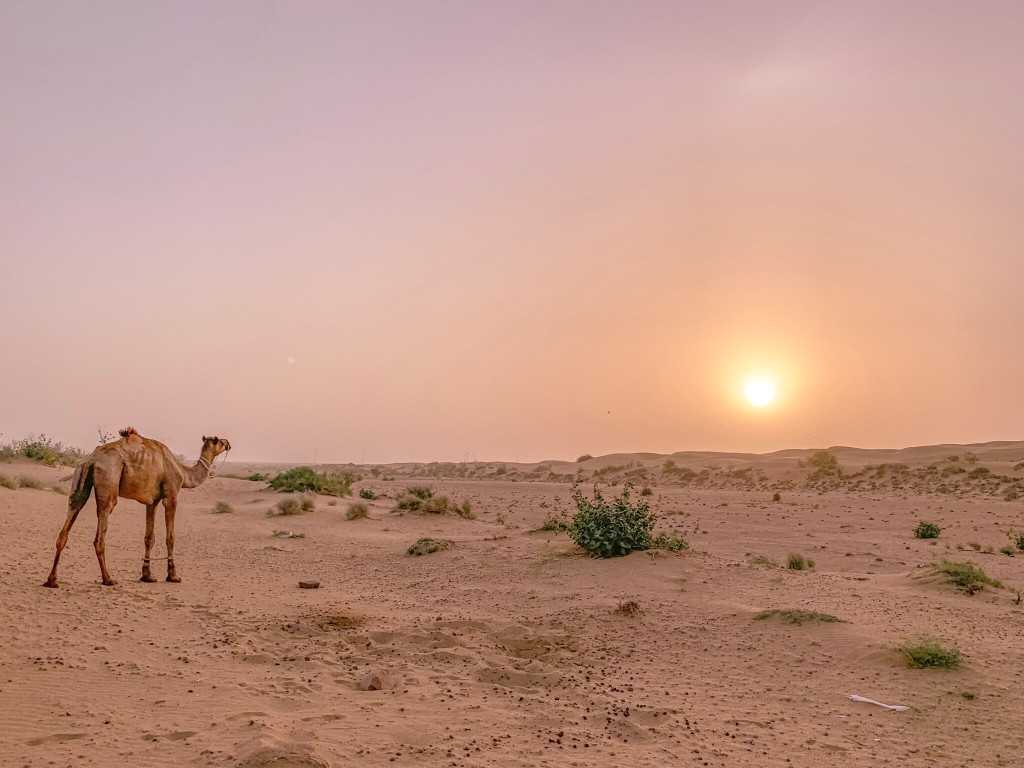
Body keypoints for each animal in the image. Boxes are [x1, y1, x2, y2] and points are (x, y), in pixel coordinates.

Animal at [44, 428, 231, 588]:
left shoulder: (152, 501)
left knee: (69, 519)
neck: (184, 474)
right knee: (101, 530)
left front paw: (147, 576)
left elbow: (149, 538)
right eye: (220, 441)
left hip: (81, 475)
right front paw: (173, 576)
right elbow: (170, 537)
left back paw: (52, 580)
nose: (229, 443)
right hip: (109, 478)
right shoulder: (171, 496)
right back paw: (108, 578)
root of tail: (92, 458)